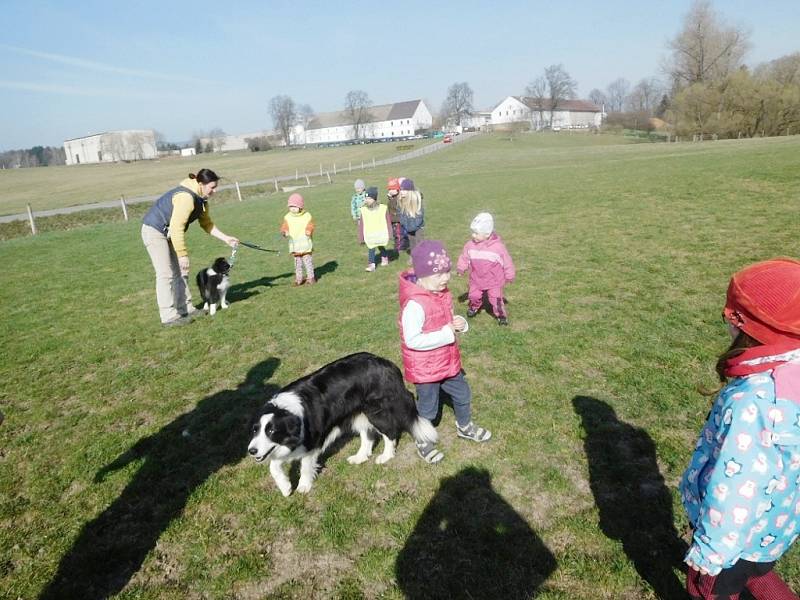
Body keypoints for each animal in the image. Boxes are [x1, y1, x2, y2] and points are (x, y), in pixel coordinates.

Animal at [248, 352, 438, 496]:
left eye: (271, 431)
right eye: (255, 430)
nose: (251, 451)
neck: (287, 410)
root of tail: (388, 364)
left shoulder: (312, 442)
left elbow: (305, 465)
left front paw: (303, 486)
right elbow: (273, 466)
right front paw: (286, 487)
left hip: (376, 411)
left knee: (390, 432)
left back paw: (386, 456)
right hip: (359, 413)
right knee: (367, 436)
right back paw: (360, 457)